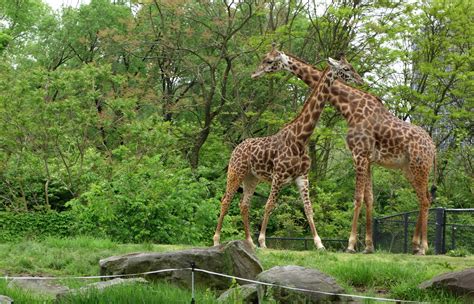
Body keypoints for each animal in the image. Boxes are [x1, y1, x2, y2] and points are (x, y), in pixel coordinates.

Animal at [213, 57, 364, 249]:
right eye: (345, 69)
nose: (360, 80)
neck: (301, 138)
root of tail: (236, 149)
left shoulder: (302, 177)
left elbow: (308, 209)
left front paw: (319, 244)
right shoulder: (278, 175)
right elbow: (269, 205)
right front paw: (263, 241)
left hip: (251, 177)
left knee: (244, 204)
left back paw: (249, 242)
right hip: (235, 172)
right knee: (226, 200)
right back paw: (217, 240)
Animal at [252, 46, 436, 254]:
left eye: (269, 61)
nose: (255, 73)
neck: (349, 106)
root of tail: (433, 148)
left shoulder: (359, 154)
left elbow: (357, 197)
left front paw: (351, 245)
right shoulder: (368, 158)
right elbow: (369, 198)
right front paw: (368, 246)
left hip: (419, 167)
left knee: (425, 199)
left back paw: (423, 247)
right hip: (409, 169)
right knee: (424, 198)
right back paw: (416, 245)